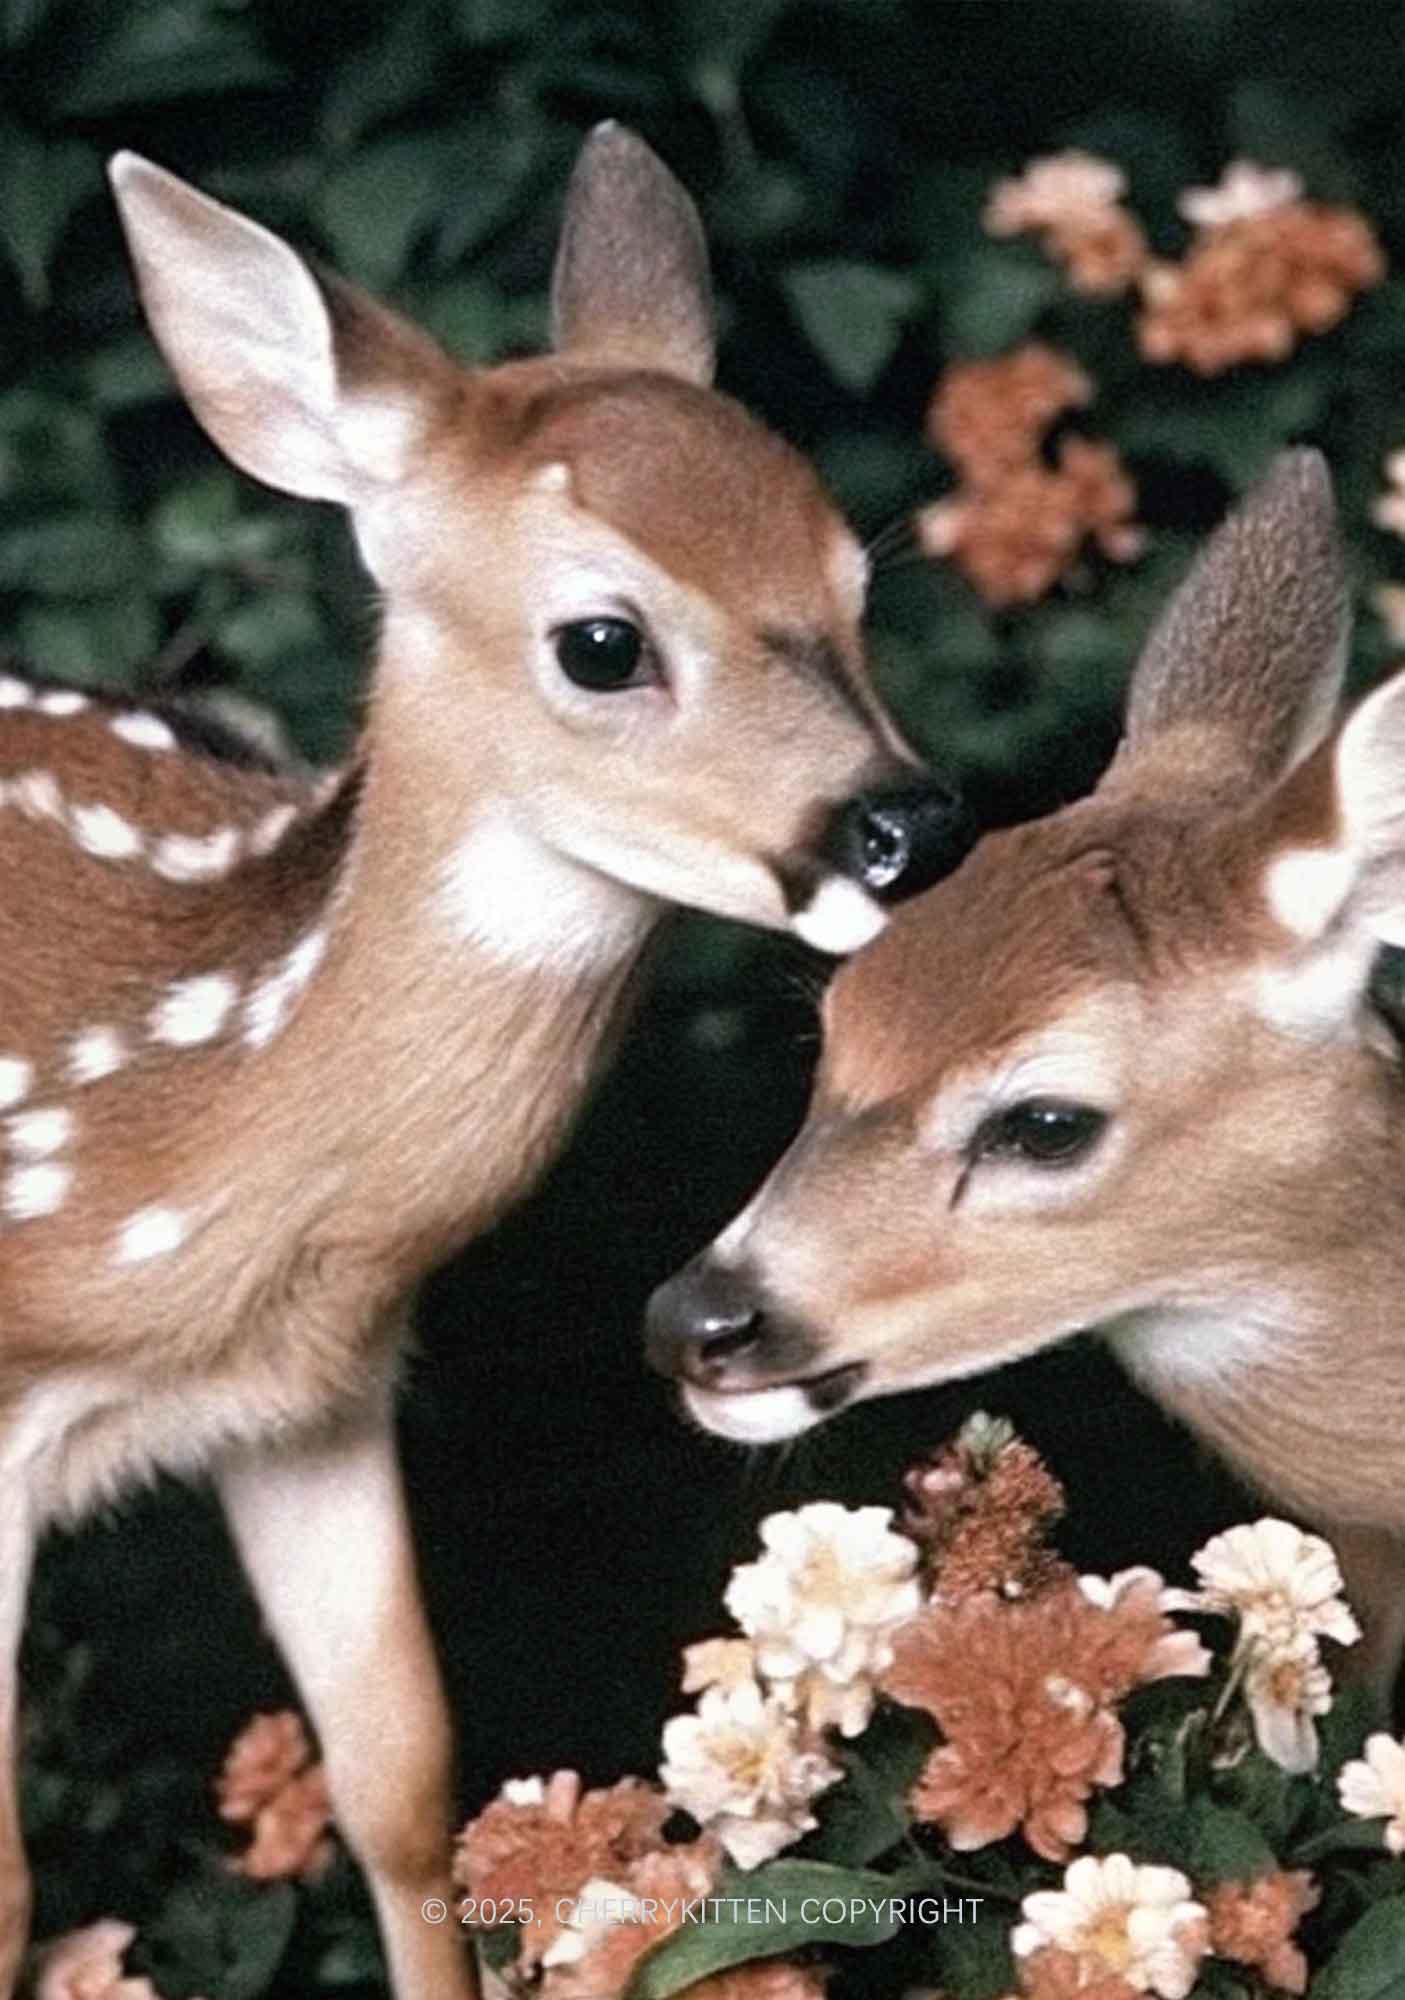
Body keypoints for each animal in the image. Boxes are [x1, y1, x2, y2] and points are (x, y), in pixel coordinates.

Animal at [0, 126, 962, 2000]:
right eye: (602, 640)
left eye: (858, 580)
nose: (908, 828)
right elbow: (6, 1877)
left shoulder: (312, 1393)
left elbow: (401, 1781)